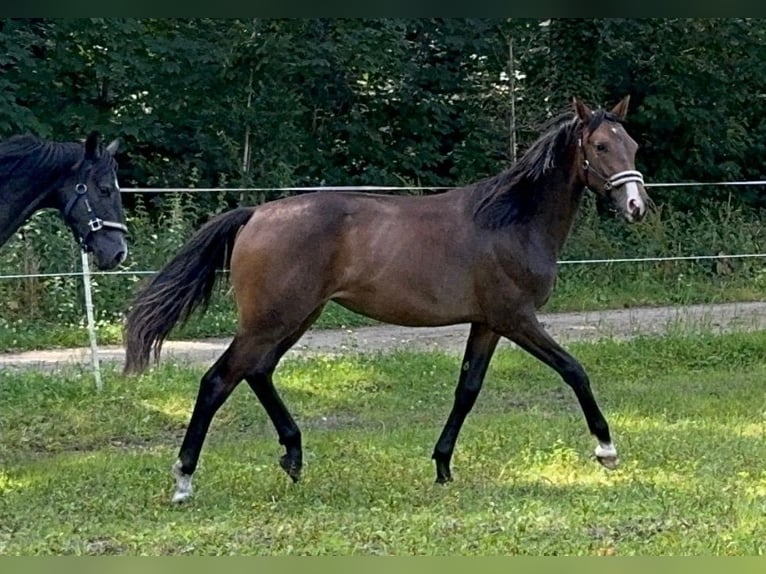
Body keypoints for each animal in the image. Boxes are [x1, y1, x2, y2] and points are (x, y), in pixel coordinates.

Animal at [124, 95, 648, 504]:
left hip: (296, 317)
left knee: (257, 372)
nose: (637, 207)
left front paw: (442, 466)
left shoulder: (487, 323)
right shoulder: (516, 318)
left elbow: (467, 390)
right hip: (271, 321)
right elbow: (573, 370)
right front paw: (606, 449)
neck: (510, 221)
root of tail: (255, 213)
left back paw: (293, 456)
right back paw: (184, 480)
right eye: (600, 146)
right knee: (218, 381)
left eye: (633, 145)